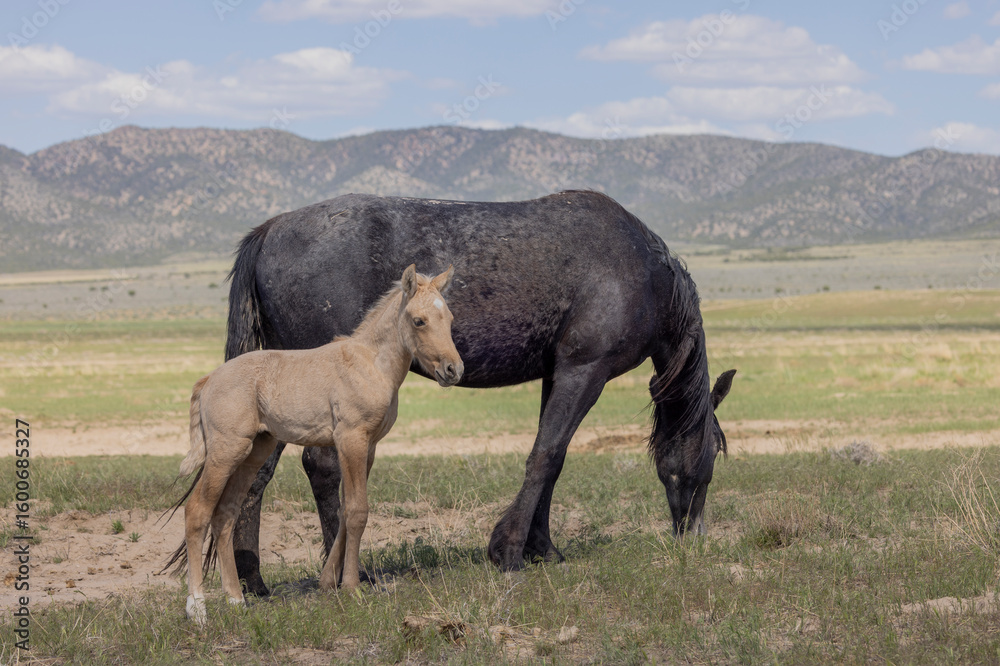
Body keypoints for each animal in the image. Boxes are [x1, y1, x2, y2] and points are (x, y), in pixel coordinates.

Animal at [168, 265, 462, 624]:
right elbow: (357, 511)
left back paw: (236, 599)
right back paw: (197, 607)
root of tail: (208, 379)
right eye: (419, 320)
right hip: (226, 451)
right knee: (197, 510)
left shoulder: (369, 447)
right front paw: (351, 588)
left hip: (254, 451)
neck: (371, 363)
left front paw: (327, 581)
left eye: (449, 318)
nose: (453, 369)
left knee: (225, 514)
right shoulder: (350, 439)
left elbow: (347, 509)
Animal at [224, 190, 735, 595]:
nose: (694, 538)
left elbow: (552, 460)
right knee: (323, 468)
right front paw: (507, 551)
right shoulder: (584, 371)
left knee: (259, 472)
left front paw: (542, 549)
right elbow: (547, 455)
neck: (643, 271)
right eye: (711, 456)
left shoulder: (557, 374)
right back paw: (348, 573)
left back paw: (253, 581)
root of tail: (270, 230)